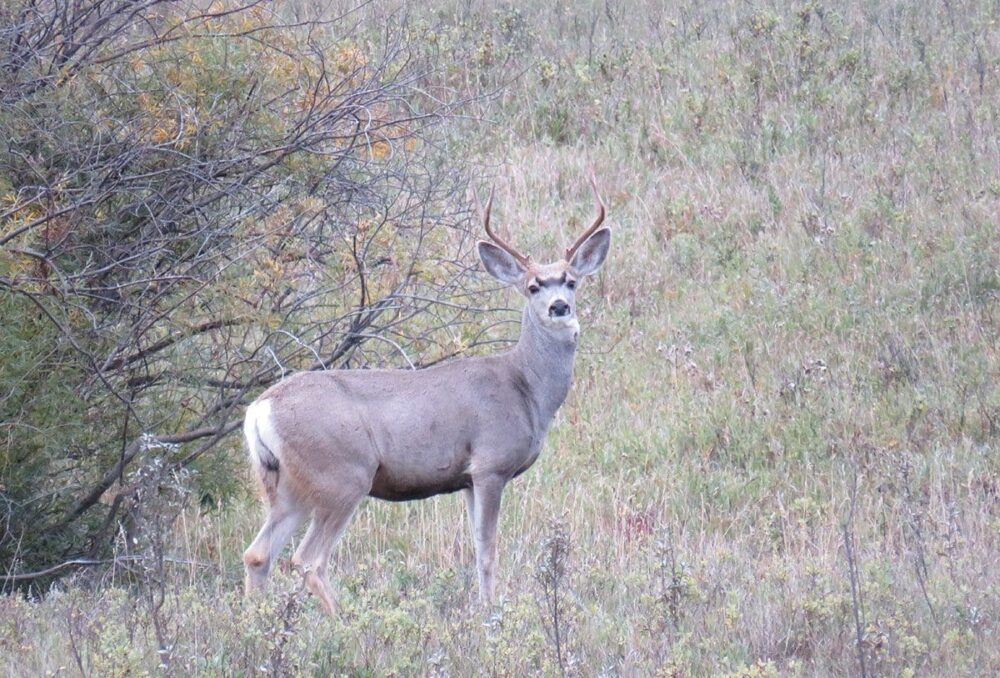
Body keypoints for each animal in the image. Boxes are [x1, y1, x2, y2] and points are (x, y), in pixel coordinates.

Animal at [244, 177, 608, 616]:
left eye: (571, 280)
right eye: (532, 285)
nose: (559, 307)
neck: (525, 388)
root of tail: (259, 409)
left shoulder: (466, 480)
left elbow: (476, 549)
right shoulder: (490, 465)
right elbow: (488, 551)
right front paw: (490, 614)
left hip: (285, 485)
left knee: (258, 554)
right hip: (342, 475)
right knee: (308, 560)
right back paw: (343, 621)